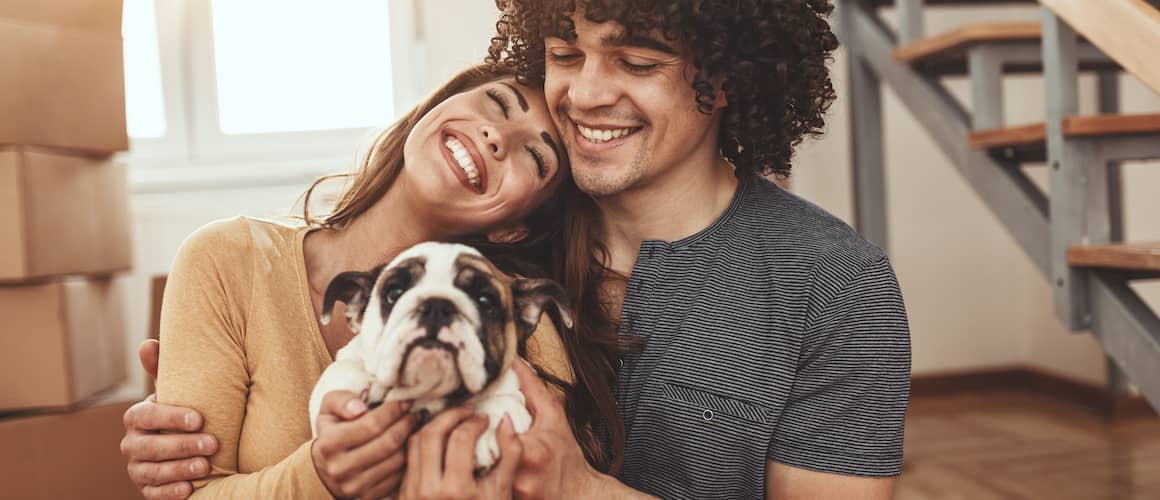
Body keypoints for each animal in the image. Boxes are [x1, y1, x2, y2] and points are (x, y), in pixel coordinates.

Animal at [308, 242, 570, 473]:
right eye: (394, 293)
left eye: (485, 301)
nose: (437, 304)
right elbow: (341, 371)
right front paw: (369, 384)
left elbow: (502, 405)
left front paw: (480, 434)